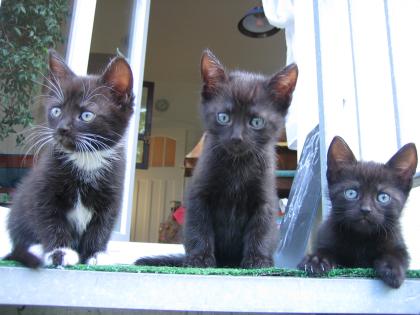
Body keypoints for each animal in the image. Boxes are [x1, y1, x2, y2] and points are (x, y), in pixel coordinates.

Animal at [4, 50, 134, 268]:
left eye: (87, 115)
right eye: (56, 110)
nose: (62, 128)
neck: (86, 159)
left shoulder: (113, 192)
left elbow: (102, 225)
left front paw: (95, 253)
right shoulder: (43, 189)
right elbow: (50, 220)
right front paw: (60, 252)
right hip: (18, 212)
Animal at [135, 50, 298, 270]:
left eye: (256, 122)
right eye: (223, 117)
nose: (237, 138)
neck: (237, 166)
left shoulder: (264, 198)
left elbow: (261, 228)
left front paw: (258, 260)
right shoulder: (199, 194)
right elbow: (200, 227)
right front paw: (200, 259)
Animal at [298, 136, 416, 288]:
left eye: (383, 197)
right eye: (351, 193)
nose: (365, 209)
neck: (361, 239)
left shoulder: (397, 242)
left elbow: (397, 254)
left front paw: (392, 268)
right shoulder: (326, 238)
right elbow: (326, 250)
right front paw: (317, 260)